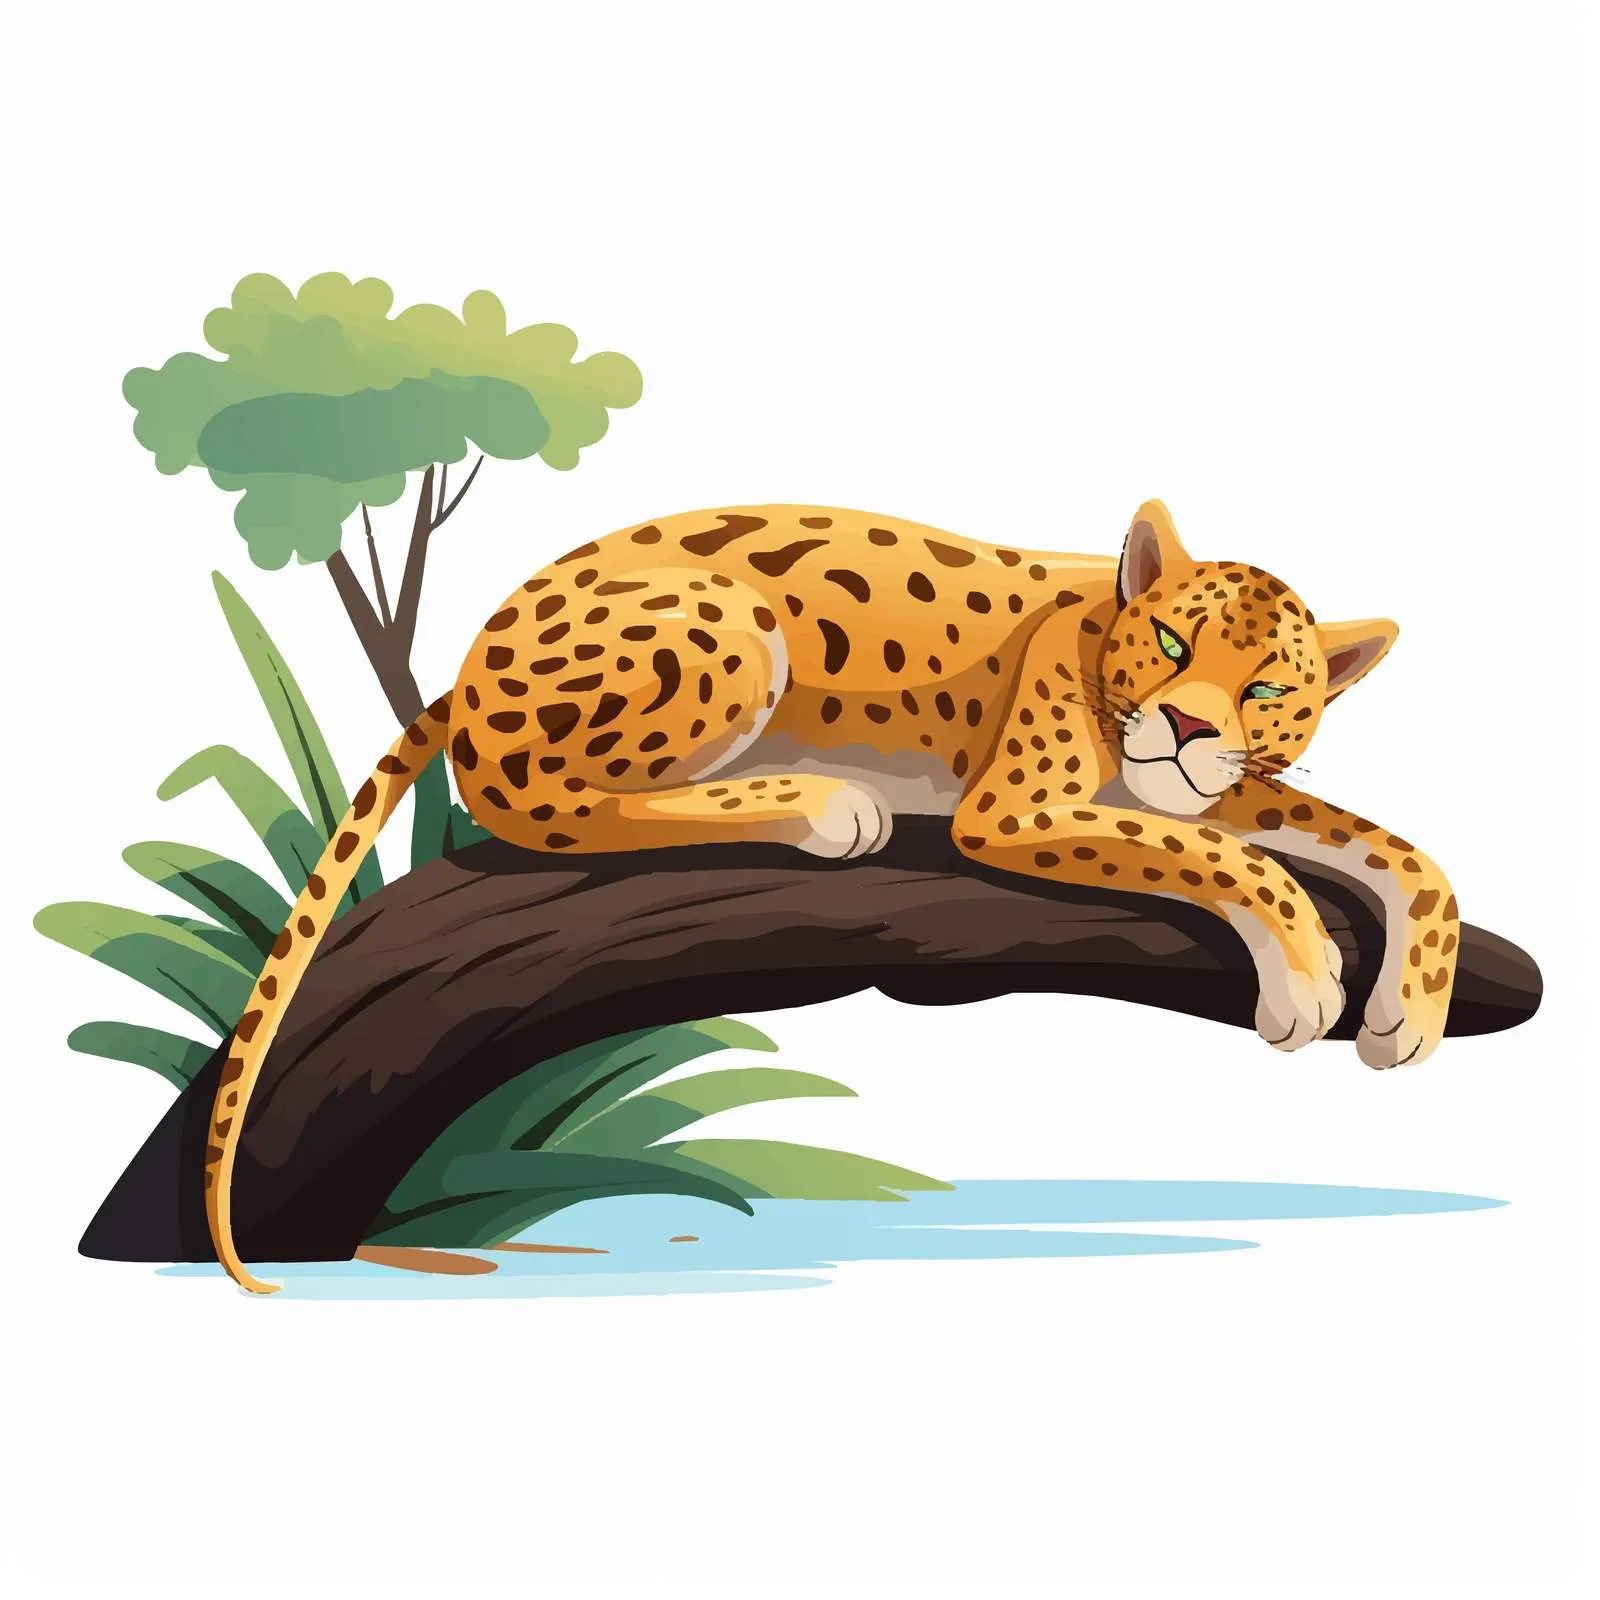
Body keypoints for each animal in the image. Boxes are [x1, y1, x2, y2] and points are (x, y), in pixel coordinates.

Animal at [203, 499, 1460, 1292]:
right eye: (1168, 638)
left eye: (1264, 689)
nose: (1193, 726)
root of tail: (478, 645)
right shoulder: (1015, 809)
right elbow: (1216, 855)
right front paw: (1304, 971)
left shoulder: (1215, 789)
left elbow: (1397, 852)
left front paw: (1410, 1006)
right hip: (725, 619)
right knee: (528, 795)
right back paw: (814, 800)